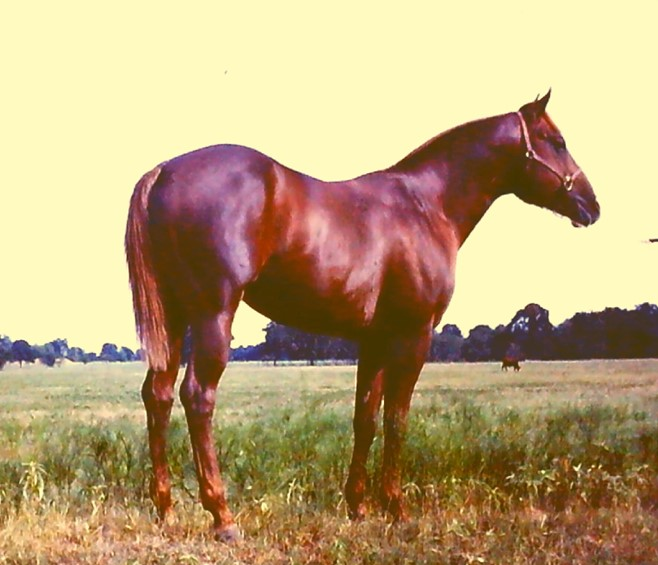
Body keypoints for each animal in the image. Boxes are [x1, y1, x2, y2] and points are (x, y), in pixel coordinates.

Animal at [125, 91, 600, 542]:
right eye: (557, 141)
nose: (592, 205)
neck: (426, 205)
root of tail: (164, 172)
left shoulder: (374, 339)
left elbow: (366, 417)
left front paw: (358, 505)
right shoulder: (413, 334)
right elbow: (396, 419)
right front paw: (397, 508)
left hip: (174, 317)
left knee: (158, 394)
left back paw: (165, 508)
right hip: (213, 314)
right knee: (197, 396)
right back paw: (222, 516)